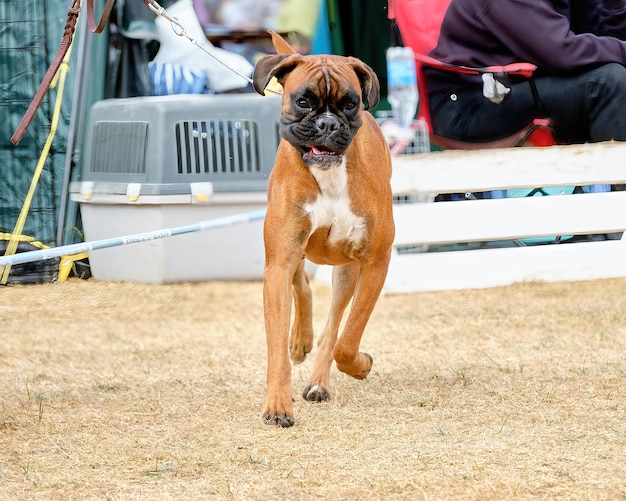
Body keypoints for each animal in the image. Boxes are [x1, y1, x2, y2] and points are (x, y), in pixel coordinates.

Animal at [251, 31, 392, 426]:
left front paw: (361, 365)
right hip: (292, 256)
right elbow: (276, 345)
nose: (328, 123)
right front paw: (277, 404)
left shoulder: (375, 262)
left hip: (347, 270)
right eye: (303, 101)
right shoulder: (279, 260)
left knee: (334, 325)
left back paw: (318, 381)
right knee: (301, 286)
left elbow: (347, 339)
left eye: (350, 104)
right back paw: (300, 340)